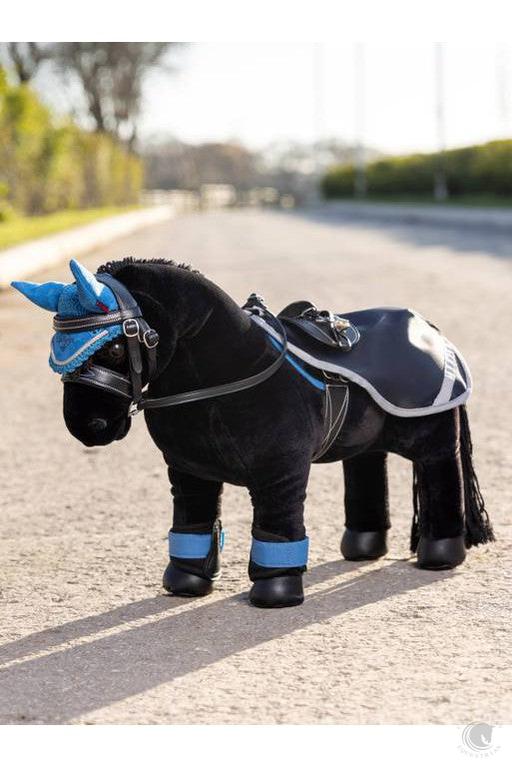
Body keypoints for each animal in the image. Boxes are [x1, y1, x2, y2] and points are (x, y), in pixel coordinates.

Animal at [12, 257, 494, 608]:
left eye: (113, 347)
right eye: (57, 353)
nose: (85, 427)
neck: (227, 375)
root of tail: (432, 329)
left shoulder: (280, 473)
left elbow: (277, 529)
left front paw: (276, 592)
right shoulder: (189, 472)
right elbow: (192, 524)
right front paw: (186, 583)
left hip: (431, 437)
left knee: (442, 471)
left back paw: (440, 554)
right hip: (364, 442)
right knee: (365, 469)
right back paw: (362, 547)